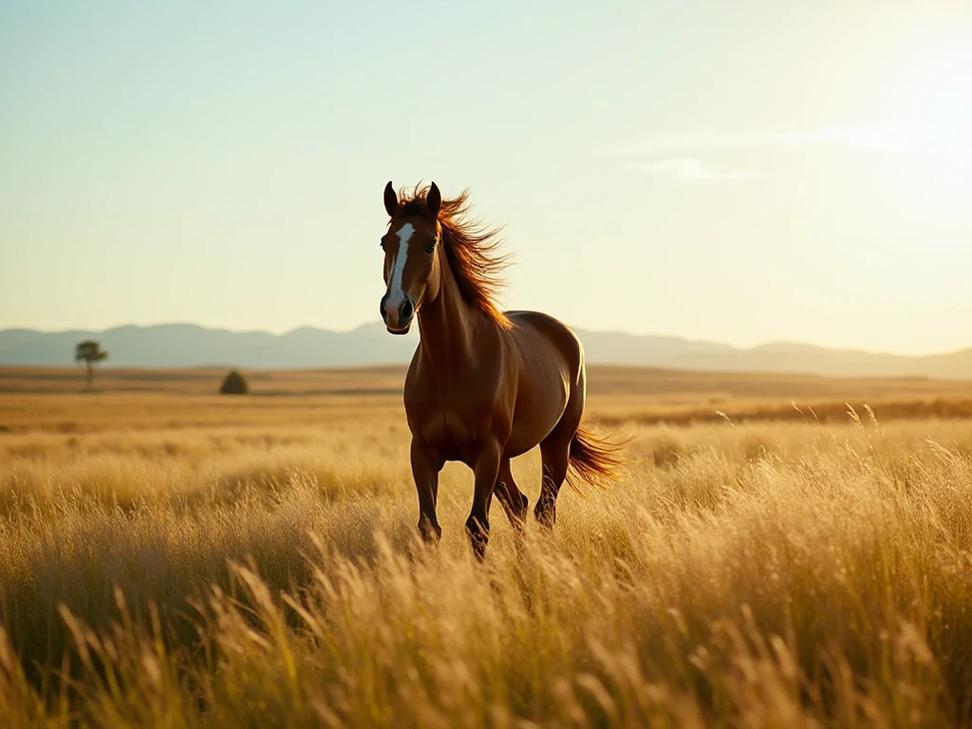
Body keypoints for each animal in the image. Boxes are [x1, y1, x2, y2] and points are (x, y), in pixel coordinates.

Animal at [378, 181, 622, 558]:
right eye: (385, 242)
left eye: (430, 243)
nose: (395, 310)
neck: (453, 364)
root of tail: (565, 335)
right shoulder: (423, 452)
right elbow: (429, 527)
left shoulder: (486, 453)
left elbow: (477, 527)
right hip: (505, 458)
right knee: (519, 505)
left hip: (555, 444)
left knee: (543, 509)